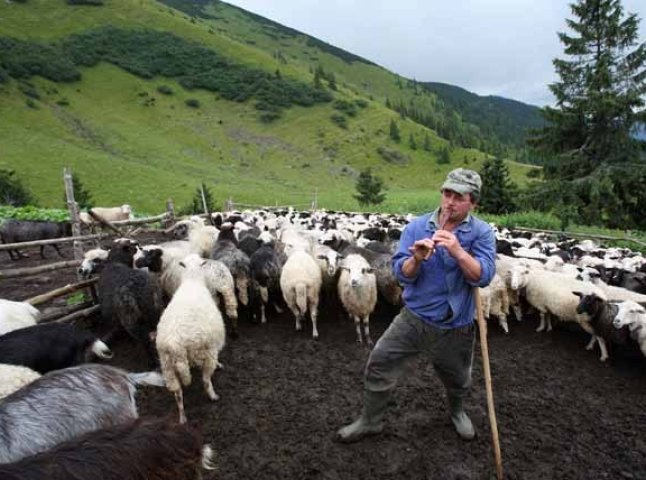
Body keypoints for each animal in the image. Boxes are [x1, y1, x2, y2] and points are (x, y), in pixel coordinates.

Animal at [157, 253, 228, 422]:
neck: (192, 280)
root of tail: (175, 343)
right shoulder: (212, 345)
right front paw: (220, 364)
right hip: (203, 352)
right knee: (206, 380)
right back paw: (213, 396)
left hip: (167, 365)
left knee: (177, 393)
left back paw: (182, 417)